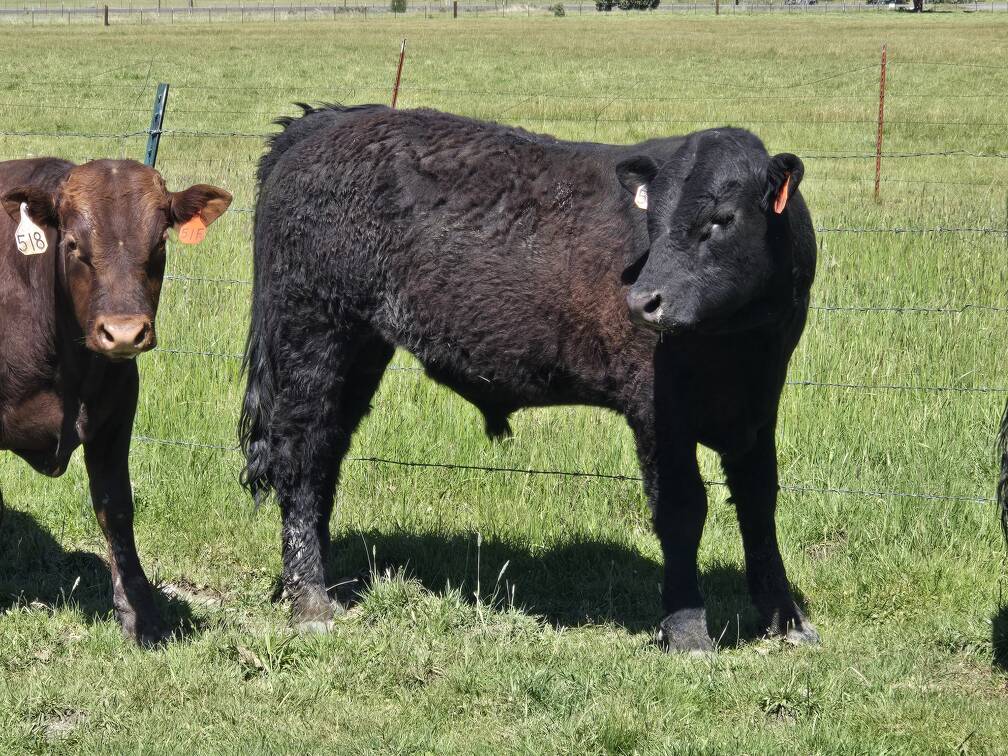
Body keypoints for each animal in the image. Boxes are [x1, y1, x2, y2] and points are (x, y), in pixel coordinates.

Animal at [0, 158, 232, 644]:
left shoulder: (117, 411)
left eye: (160, 241)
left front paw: (139, 612)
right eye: (72, 244)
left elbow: (116, 508)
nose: (124, 332)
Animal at [240, 104, 818, 652]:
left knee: (327, 454)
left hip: (360, 351)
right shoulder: (658, 411)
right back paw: (310, 602)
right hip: (312, 335)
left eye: (722, 218)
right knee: (300, 458)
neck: (738, 340)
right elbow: (682, 509)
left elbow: (759, 502)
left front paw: (786, 619)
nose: (642, 301)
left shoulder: (760, 406)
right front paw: (688, 630)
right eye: (652, 223)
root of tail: (328, 121)